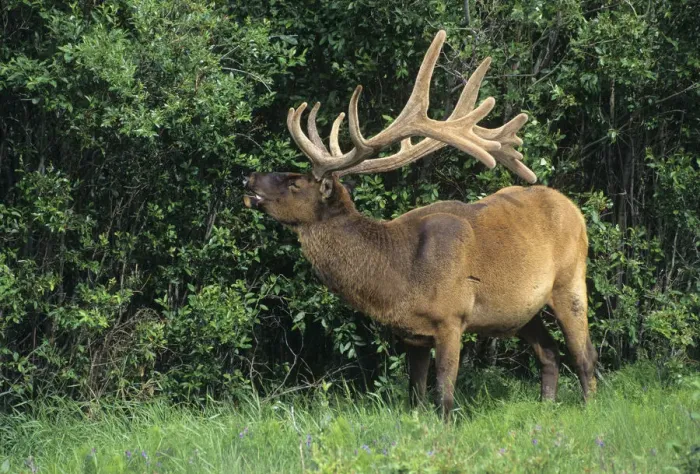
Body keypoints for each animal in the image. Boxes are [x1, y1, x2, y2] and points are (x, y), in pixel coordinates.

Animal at [243, 30, 597, 418]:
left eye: (295, 183)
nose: (248, 178)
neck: (400, 277)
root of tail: (574, 209)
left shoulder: (451, 317)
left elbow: (444, 394)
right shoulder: (411, 334)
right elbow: (414, 395)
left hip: (570, 281)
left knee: (585, 356)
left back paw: (589, 408)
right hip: (522, 311)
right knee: (549, 353)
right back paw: (547, 408)